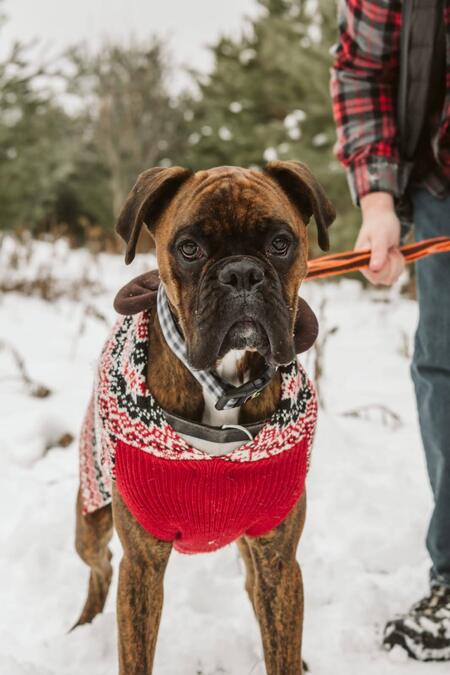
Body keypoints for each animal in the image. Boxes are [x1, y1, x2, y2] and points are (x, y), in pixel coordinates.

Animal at [74, 161, 334, 672]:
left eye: (281, 243)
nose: (242, 274)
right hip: (91, 518)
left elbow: (281, 645)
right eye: (189, 248)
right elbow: (134, 650)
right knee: (99, 568)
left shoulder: (278, 560)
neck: (223, 390)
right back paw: (82, 629)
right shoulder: (142, 567)